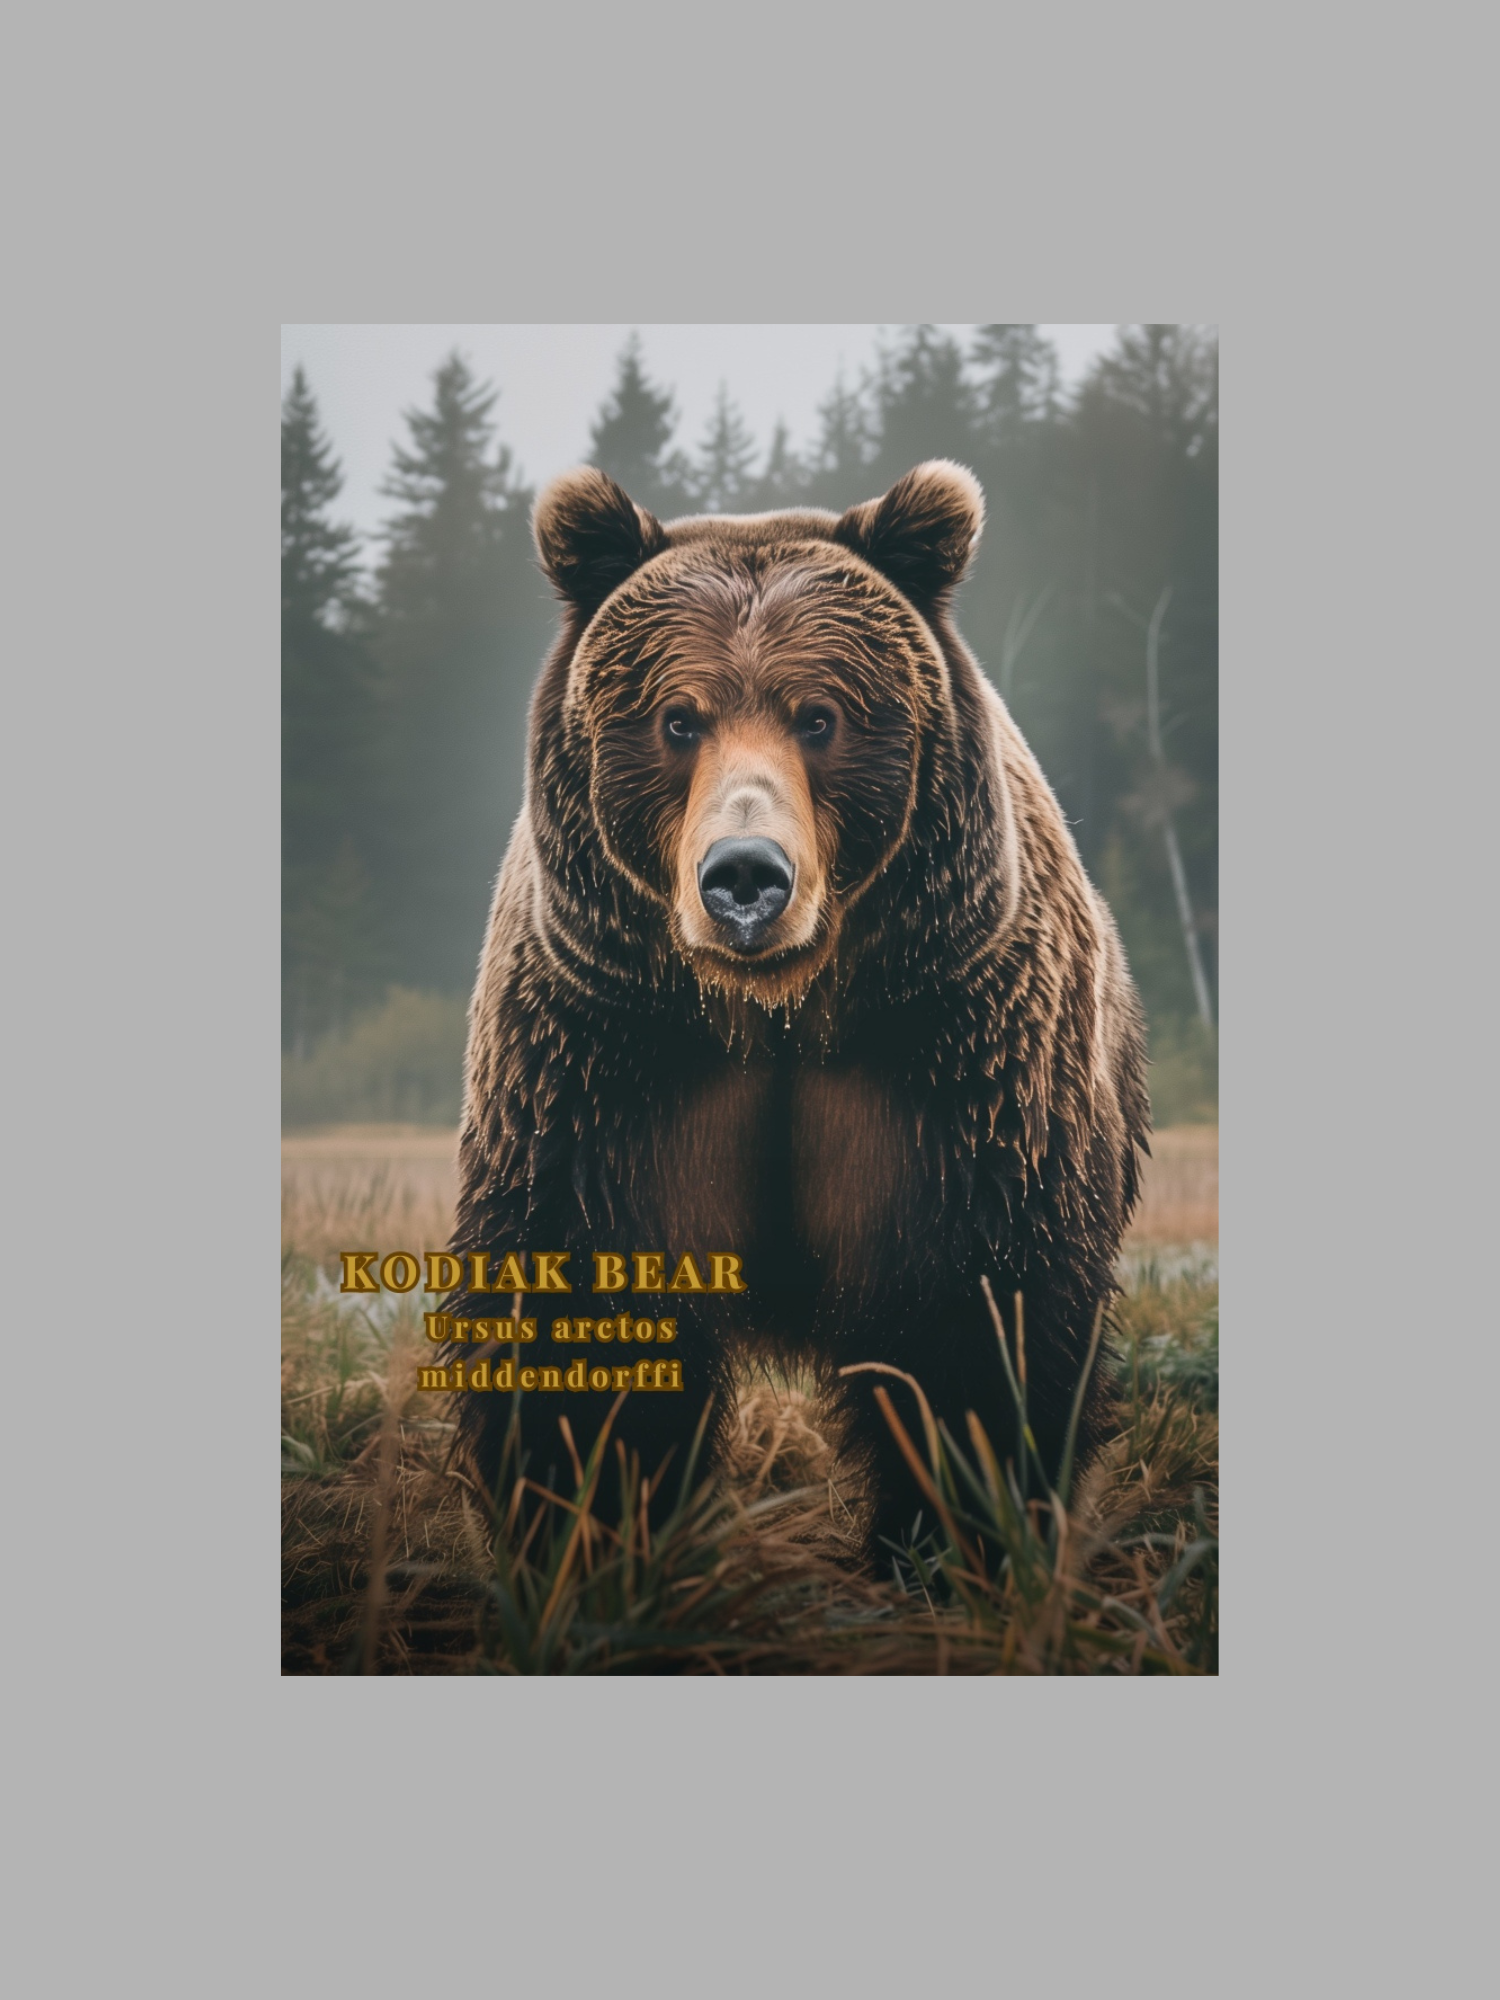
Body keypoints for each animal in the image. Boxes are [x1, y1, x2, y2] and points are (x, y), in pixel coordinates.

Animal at [443, 458, 1150, 1559]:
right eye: (677, 717)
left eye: (820, 715)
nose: (745, 876)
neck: (773, 1009)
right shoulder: (601, 1062)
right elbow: (580, 1312)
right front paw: (585, 1527)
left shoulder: (957, 1060)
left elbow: (979, 1319)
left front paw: (953, 1533)